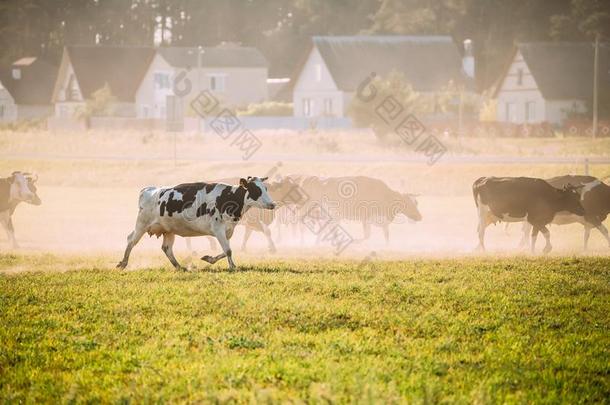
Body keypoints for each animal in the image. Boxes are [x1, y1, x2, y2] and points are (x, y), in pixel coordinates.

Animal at [114, 175, 276, 270]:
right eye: (256, 190)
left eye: (266, 188)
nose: (272, 204)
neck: (228, 197)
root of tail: (149, 190)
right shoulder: (218, 228)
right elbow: (228, 250)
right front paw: (232, 267)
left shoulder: (228, 230)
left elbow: (226, 250)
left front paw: (209, 259)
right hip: (141, 224)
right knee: (131, 240)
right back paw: (123, 263)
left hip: (168, 230)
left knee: (166, 248)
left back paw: (179, 267)